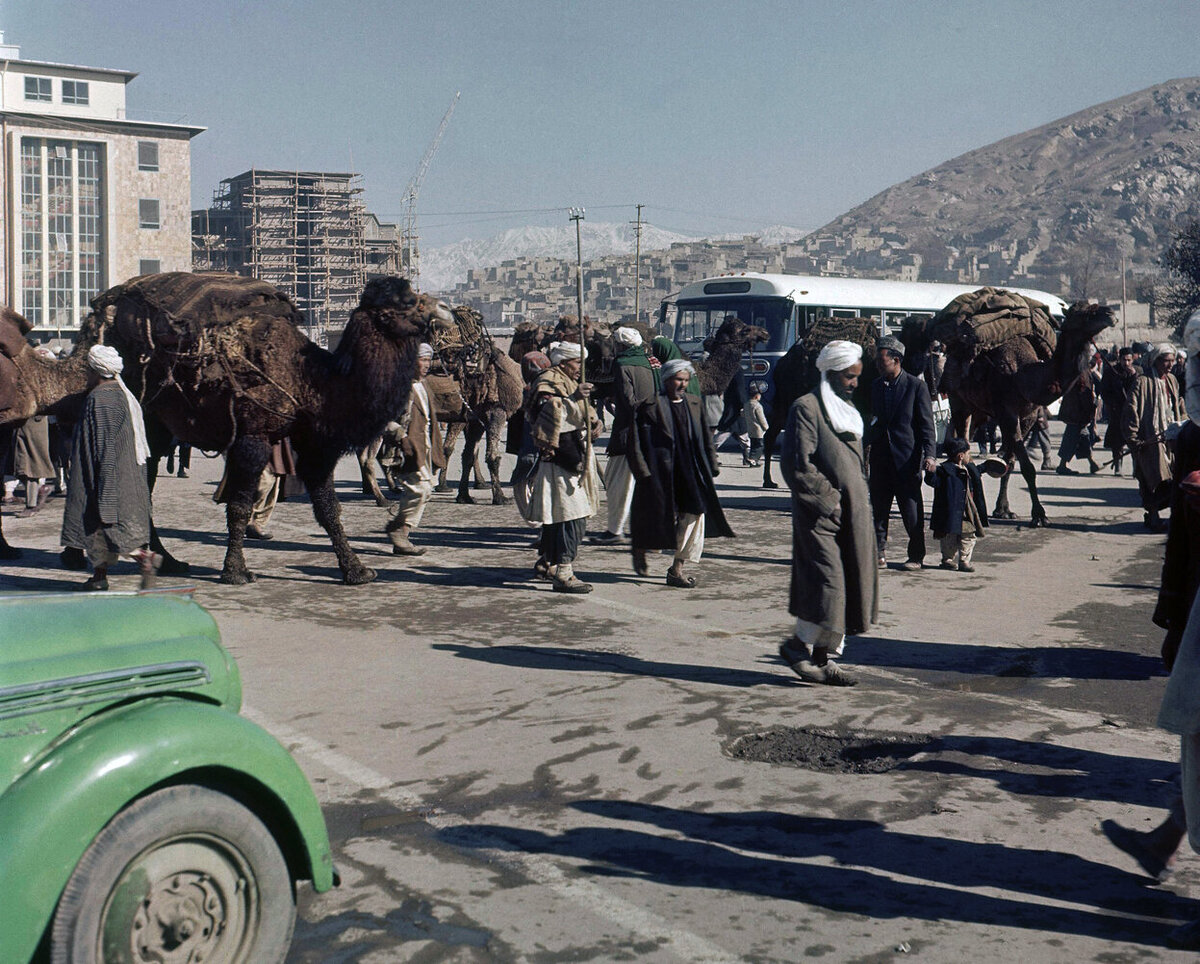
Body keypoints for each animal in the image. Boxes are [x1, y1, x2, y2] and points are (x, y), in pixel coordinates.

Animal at [84, 273, 451, 588]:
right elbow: (240, 506)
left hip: (156, 428)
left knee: (145, 481)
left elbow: (329, 509)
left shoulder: (315, 445)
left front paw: (357, 570)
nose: (445, 309)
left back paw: (167, 560)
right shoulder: (252, 439)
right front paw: (235, 572)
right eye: (407, 300)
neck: (312, 381)